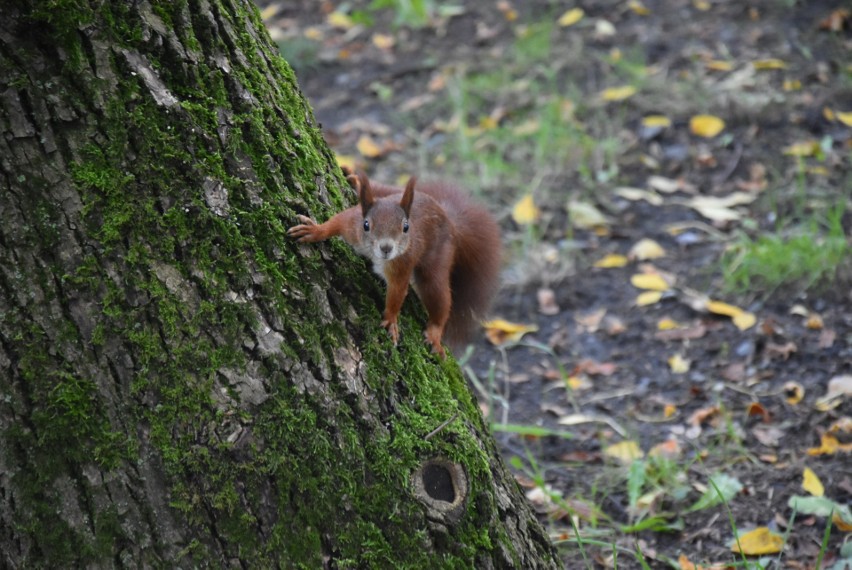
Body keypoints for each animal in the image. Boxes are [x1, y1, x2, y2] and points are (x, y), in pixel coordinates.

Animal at [288, 170, 500, 356]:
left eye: (406, 227)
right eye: (367, 225)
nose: (386, 248)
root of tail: (450, 221)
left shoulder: (401, 264)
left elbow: (397, 292)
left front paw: (390, 319)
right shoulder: (352, 223)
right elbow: (336, 222)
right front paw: (315, 231)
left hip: (438, 260)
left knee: (439, 297)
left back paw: (435, 333)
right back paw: (355, 180)